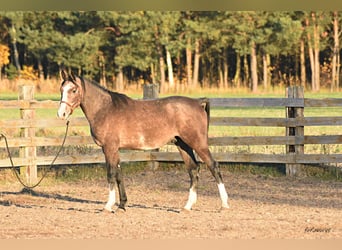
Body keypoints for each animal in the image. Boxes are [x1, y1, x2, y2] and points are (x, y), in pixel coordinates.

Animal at [57, 70, 228, 213]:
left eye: (73, 90)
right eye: (61, 90)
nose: (61, 114)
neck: (105, 109)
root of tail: (198, 103)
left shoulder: (109, 147)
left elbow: (111, 174)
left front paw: (108, 206)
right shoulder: (114, 149)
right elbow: (119, 174)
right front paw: (122, 205)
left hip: (198, 143)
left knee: (213, 166)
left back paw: (224, 205)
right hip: (183, 144)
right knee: (193, 169)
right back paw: (187, 206)